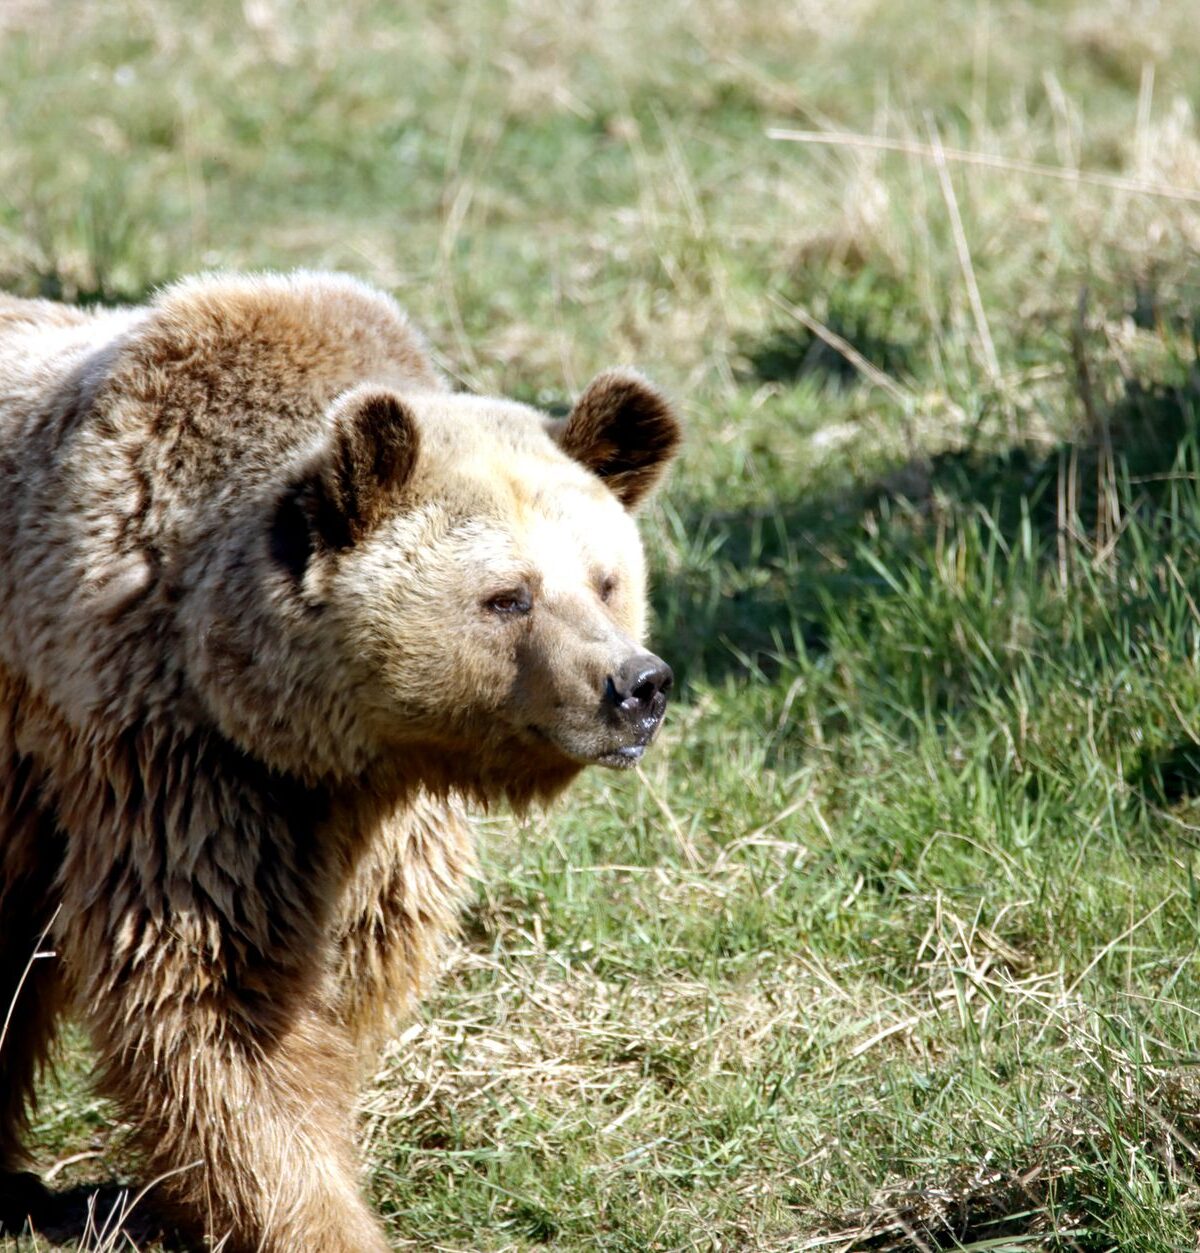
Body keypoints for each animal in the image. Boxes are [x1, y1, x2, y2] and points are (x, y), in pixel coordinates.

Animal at [0, 272, 679, 1252]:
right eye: (507, 596)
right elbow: (211, 993)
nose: (635, 686)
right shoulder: (180, 761)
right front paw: (317, 1213)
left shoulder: (375, 821)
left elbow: (346, 979)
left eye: (605, 580)